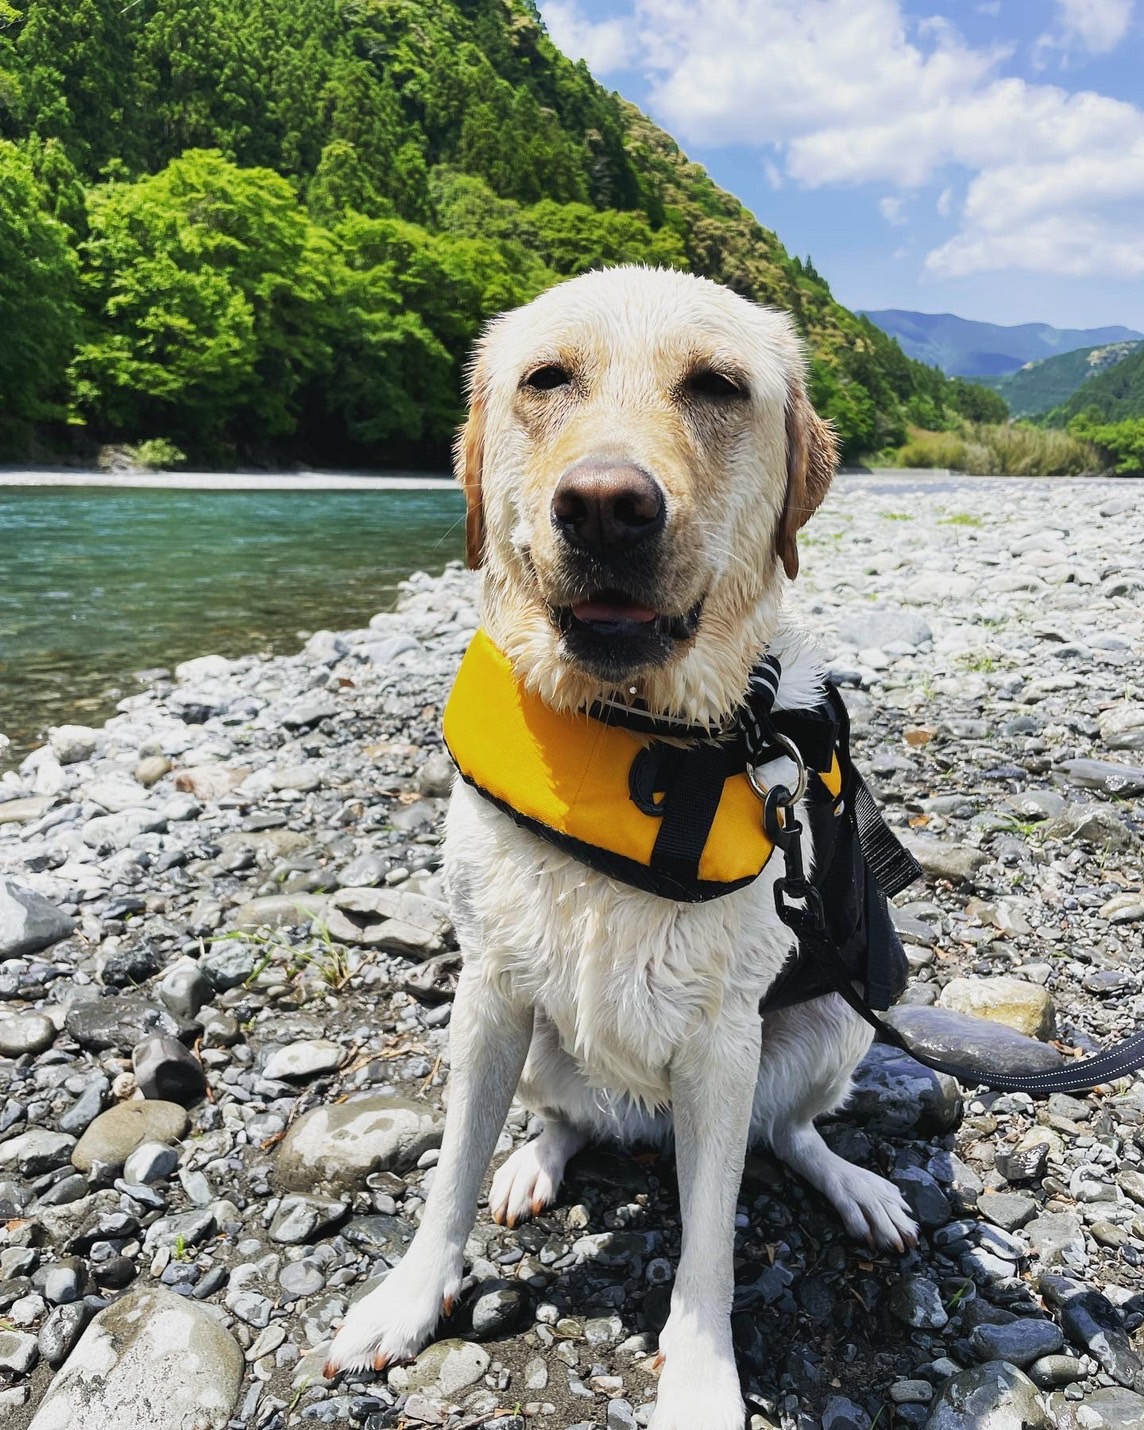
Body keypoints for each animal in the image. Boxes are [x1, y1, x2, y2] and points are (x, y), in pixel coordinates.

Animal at [326, 268, 915, 1430]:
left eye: (717, 386)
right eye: (546, 378)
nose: (605, 503)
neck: (631, 730)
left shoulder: (725, 1041)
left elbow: (711, 1243)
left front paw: (700, 1376)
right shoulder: (487, 988)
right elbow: (447, 1172)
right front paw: (409, 1298)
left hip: (833, 1024)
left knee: (787, 1134)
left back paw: (853, 1184)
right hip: (541, 1044)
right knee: (564, 1117)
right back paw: (535, 1162)